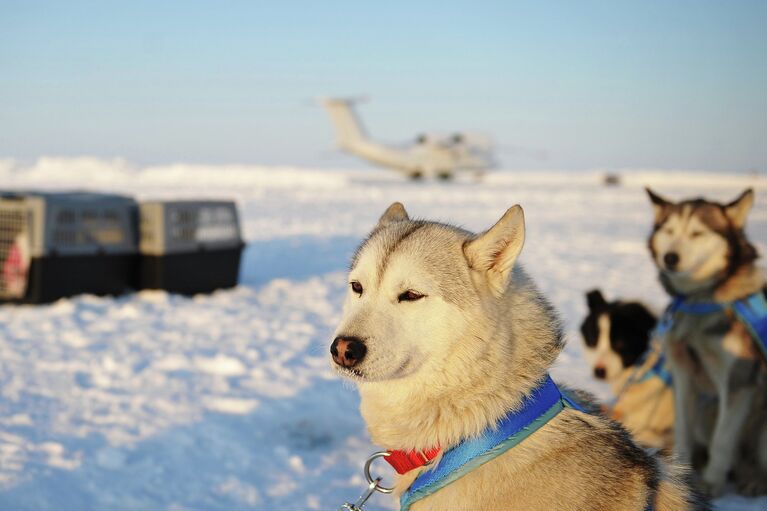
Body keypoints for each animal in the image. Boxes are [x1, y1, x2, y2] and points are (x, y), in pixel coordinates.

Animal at [648, 188, 767, 496]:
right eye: (669, 230)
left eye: (698, 233)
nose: (670, 257)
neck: (701, 300)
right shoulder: (683, 374)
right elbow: (683, 431)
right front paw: (683, 475)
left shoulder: (738, 380)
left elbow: (722, 440)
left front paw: (712, 483)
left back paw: (754, 480)